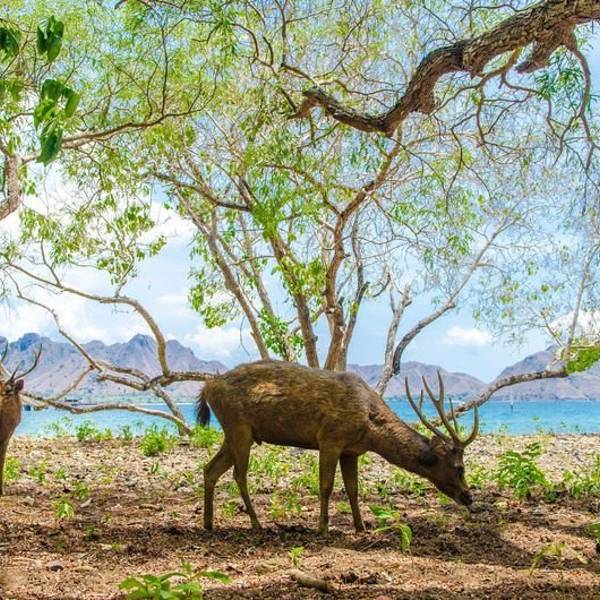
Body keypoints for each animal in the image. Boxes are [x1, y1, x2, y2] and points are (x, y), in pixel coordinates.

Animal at [197, 360, 479, 534]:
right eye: (459, 468)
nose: (469, 496)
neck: (370, 429)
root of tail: (207, 387)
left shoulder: (351, 451)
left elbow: (353, 489)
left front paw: (361, 526)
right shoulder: (330, 438)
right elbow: (326, 485)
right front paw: (322, 528)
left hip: (233, 432)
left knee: (210, 469)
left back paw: (208, 523)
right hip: (238, 426)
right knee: (239, 475)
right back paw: (256, 523)